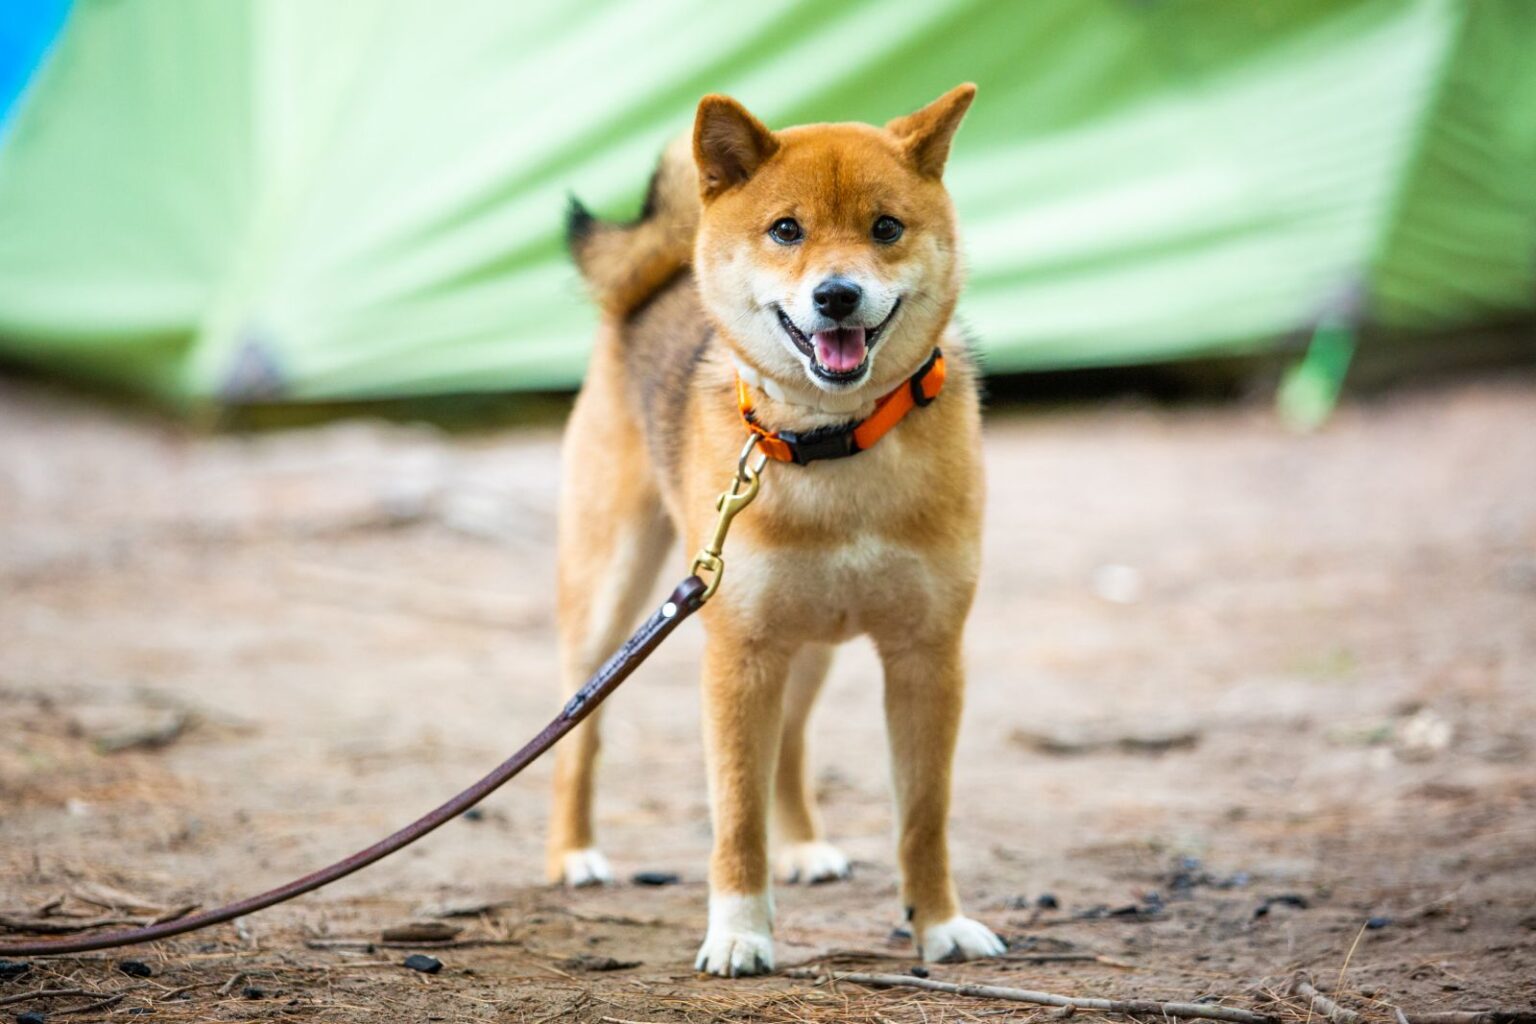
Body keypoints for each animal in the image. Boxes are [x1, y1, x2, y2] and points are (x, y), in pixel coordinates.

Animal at [546, 85, 1001, 976]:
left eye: (885, 228)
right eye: (787, 230)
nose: (837, 296)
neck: (836, 444)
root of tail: (648, 290)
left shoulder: (927, 655)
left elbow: (922, 817)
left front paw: (937, 924)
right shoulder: (740, 653)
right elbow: (735, 814)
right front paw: (739, 933)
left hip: (811, 641)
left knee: (790, 738)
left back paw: (804, 846)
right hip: (609, 601)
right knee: (577, 728)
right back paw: (573, 854)